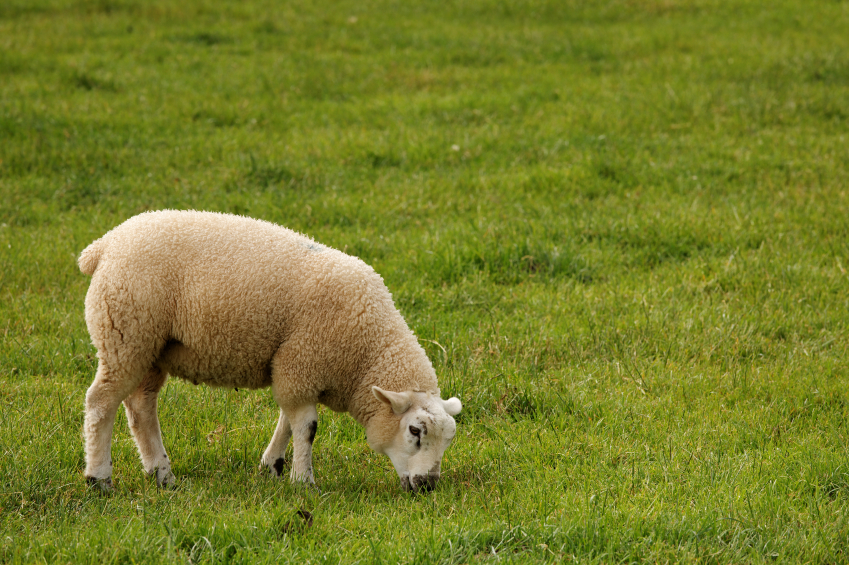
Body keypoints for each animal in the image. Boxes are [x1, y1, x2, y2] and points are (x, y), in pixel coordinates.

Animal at [78, 209, 464, 492]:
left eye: (448, 440)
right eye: (415, 431)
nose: (427, 485)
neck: (366, 350)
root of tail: (104, 245)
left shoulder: (293, 367)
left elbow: (288, 421)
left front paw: (272, 467)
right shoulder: (303, 360)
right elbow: (307, 427)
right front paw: (304, 482)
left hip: (150, 348)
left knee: (141, 407)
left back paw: (162, 475)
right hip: (126, 334)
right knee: (101, 402)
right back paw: (99, 478)